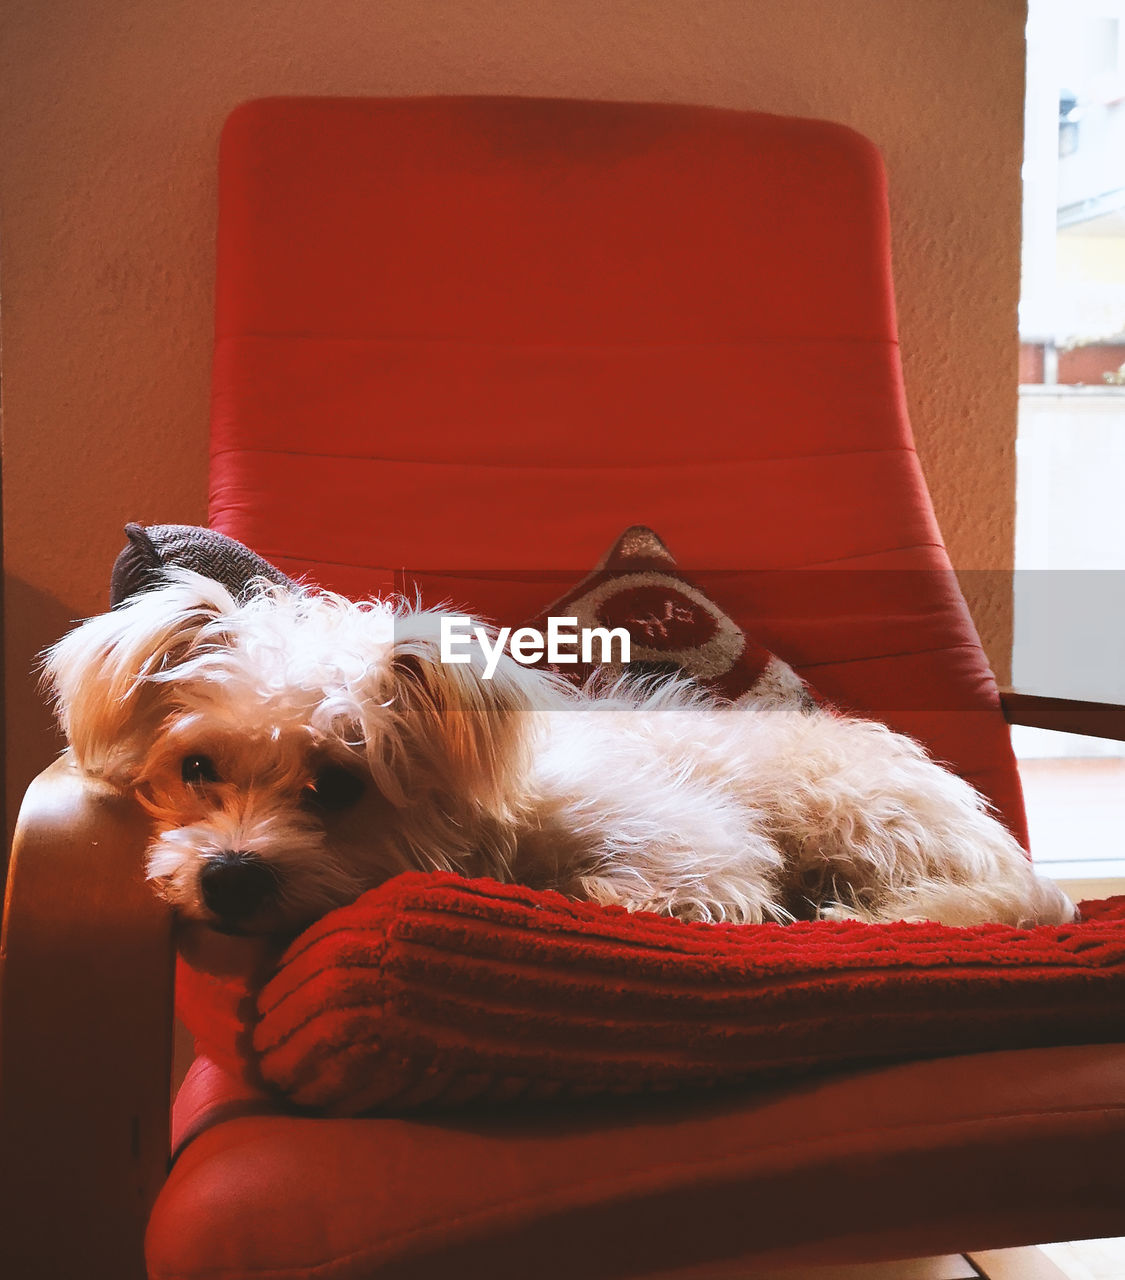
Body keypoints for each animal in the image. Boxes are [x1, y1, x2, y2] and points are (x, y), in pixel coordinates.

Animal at [44, 576, 1080, 936]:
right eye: (197, 769)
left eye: (336, 784)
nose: (228, 878)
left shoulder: (698, 851)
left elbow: (638, 888)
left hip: (852, 813)